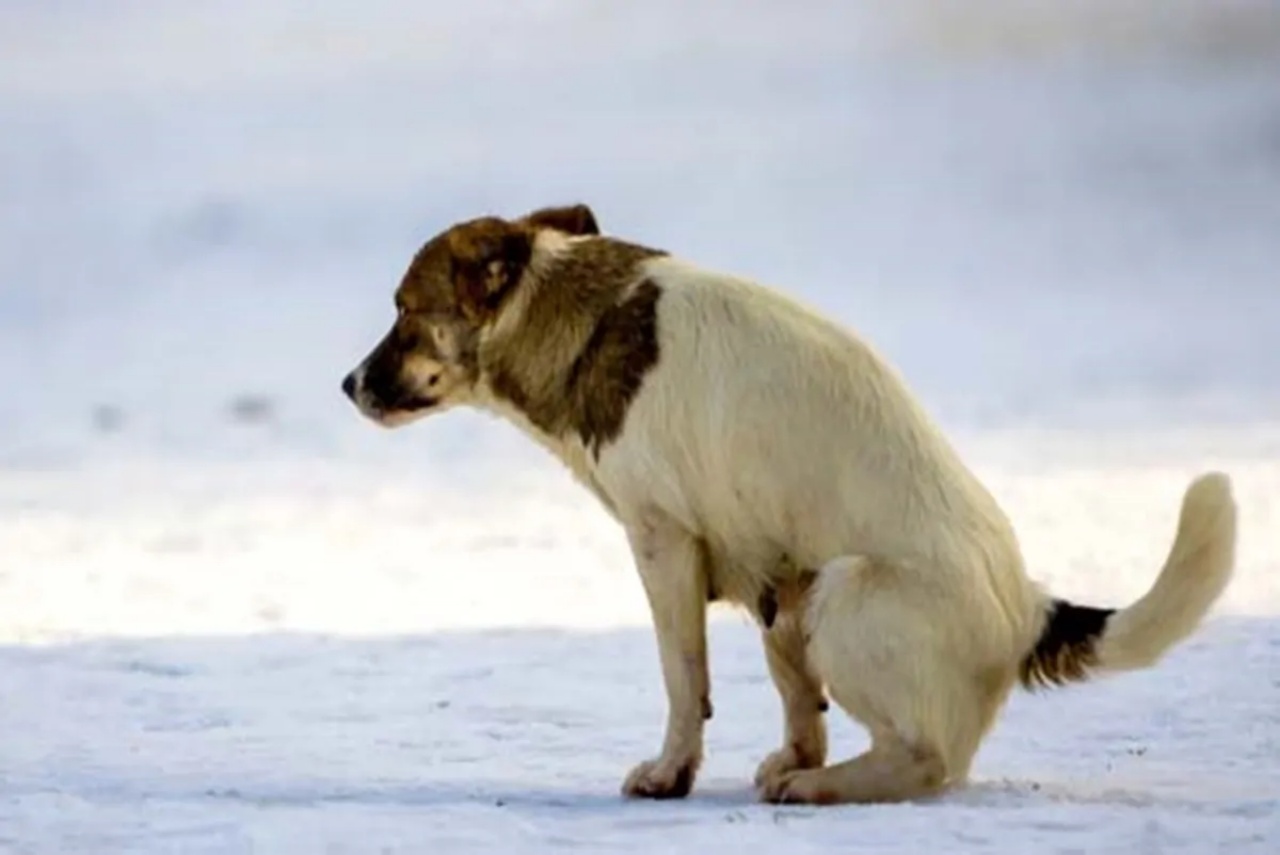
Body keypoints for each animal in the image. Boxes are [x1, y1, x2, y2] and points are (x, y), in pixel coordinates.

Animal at [343, 203, 1239, 803]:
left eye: (404, 311)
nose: (348, 384)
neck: (582, 314)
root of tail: (1029, 607)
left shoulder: (662, 541)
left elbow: (682, 678)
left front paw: (670, 773)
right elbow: (758, 695)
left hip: (844, 590)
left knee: (928, 759)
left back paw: (822, 788)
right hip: (794, 595)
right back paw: (804, 770)